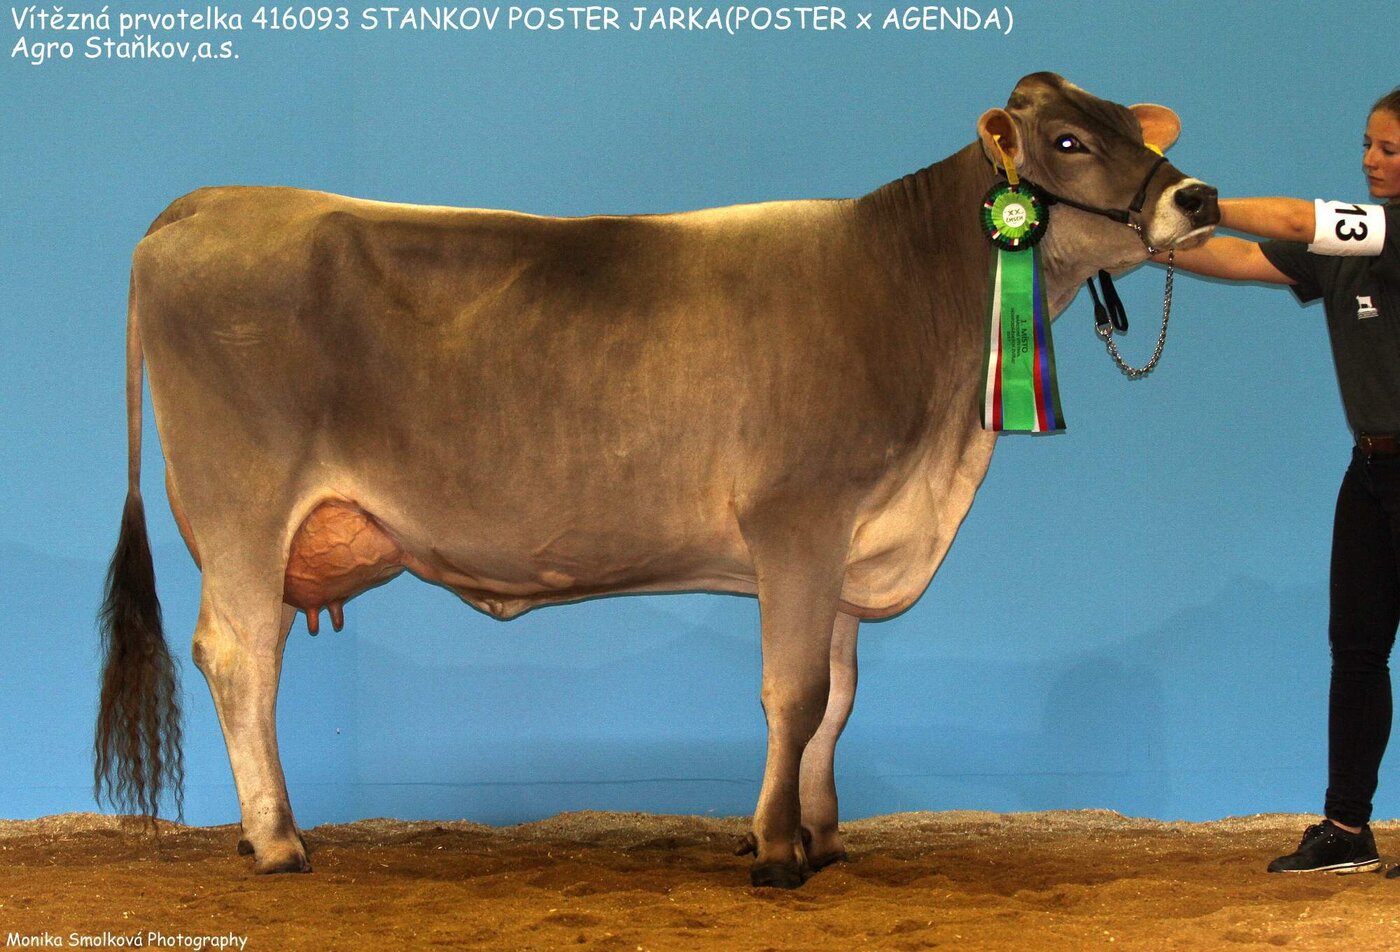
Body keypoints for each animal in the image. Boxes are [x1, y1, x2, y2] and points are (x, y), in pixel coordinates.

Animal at [94, 73, 1218, 889]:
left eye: (1132, 124)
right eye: (1066, 142)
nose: (1196, 195)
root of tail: (210, 203)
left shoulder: (850, 544)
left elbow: (840, 700)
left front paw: (823, 835)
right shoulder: (798, 517)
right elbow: (793, 693)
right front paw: (776, 852)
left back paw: (265, 832)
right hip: (243, 507)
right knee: (239, 655)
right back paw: (279, 841)